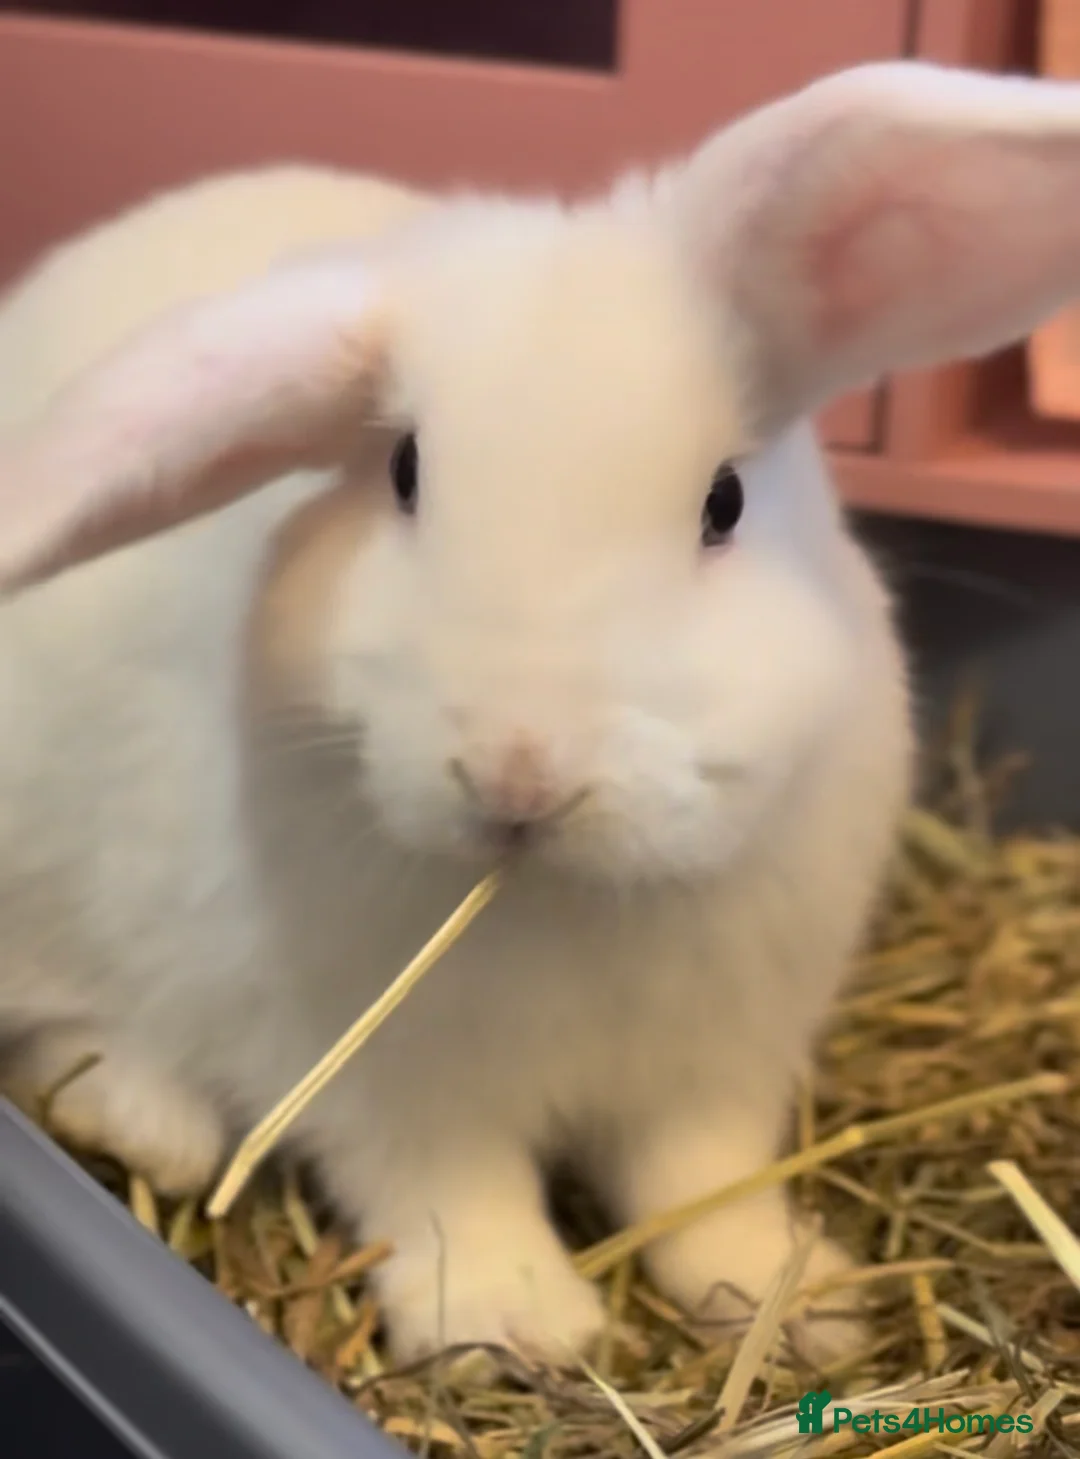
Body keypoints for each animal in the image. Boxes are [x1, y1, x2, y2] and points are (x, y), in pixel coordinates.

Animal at [3, 59, 1080, 1369]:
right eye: (404, 473)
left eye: (724, 501)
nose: (518, 773)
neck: (568, 899)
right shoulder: (386, 1082)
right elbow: (448, 1192)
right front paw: (515, 1322)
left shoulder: (719, 1065)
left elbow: (698, 1183)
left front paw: (791, 1302)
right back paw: (150, 1127)